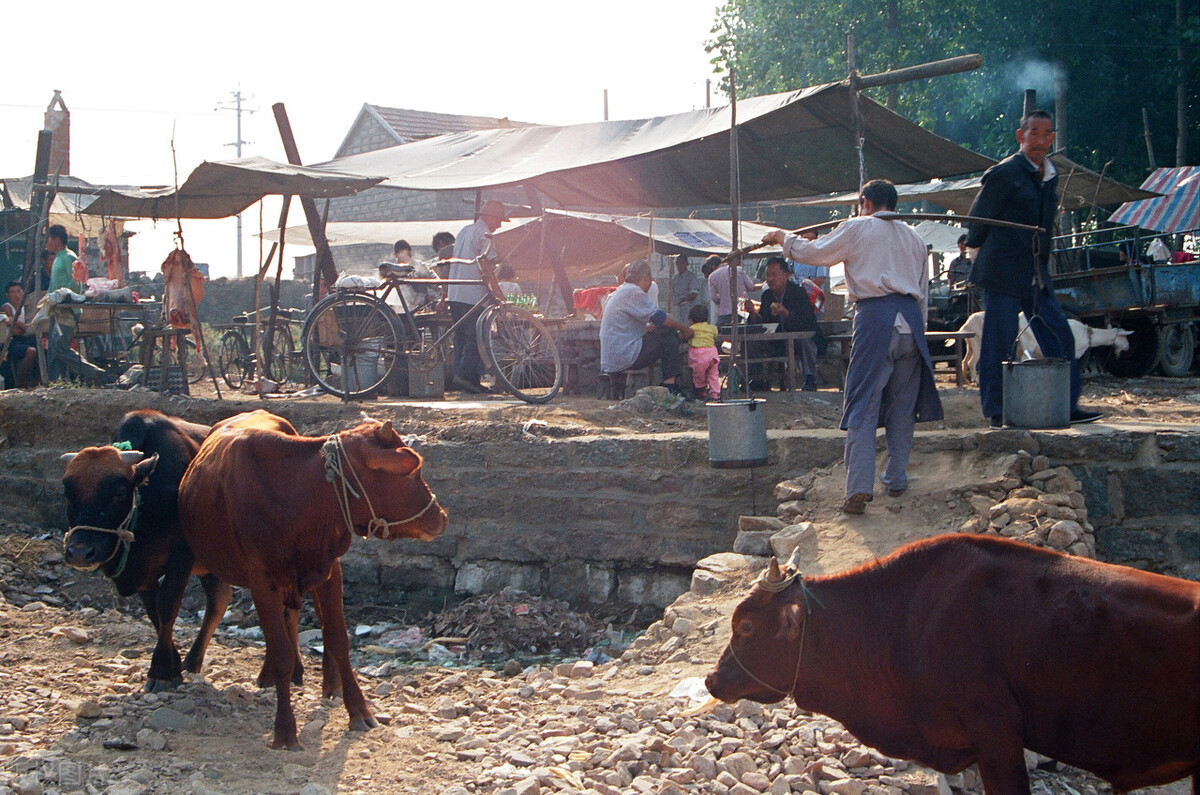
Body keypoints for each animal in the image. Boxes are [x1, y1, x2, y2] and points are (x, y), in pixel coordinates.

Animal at [60, 413, 229, 696]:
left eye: (117, 493)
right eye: (68, 494)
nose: (80, 553)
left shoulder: (181, 557)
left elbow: (167, 605)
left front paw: (160, 672)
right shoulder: (143, 574)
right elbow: (154, 614)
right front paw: (172, 668)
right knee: (219, 599)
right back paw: (192, 662)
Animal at [182, 413, 451, 749]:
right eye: (414, 471)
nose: (442, 517)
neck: (297, 492)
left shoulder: (329, 568)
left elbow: (337, 639)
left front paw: (358, 710)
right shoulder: (262, 580)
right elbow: (281, 652)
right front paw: (285, 730)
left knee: (303, 620)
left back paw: (323, 682)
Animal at [955, 312, 1132, 384]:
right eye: (1125, 337)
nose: (1129, 348)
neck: (1088, 334)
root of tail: (966, 324)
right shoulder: (1073, 351)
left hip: (971, 343)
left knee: (965, 361)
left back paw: (966, 379)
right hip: (982, 343)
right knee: (972, 362)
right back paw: (976, 380)